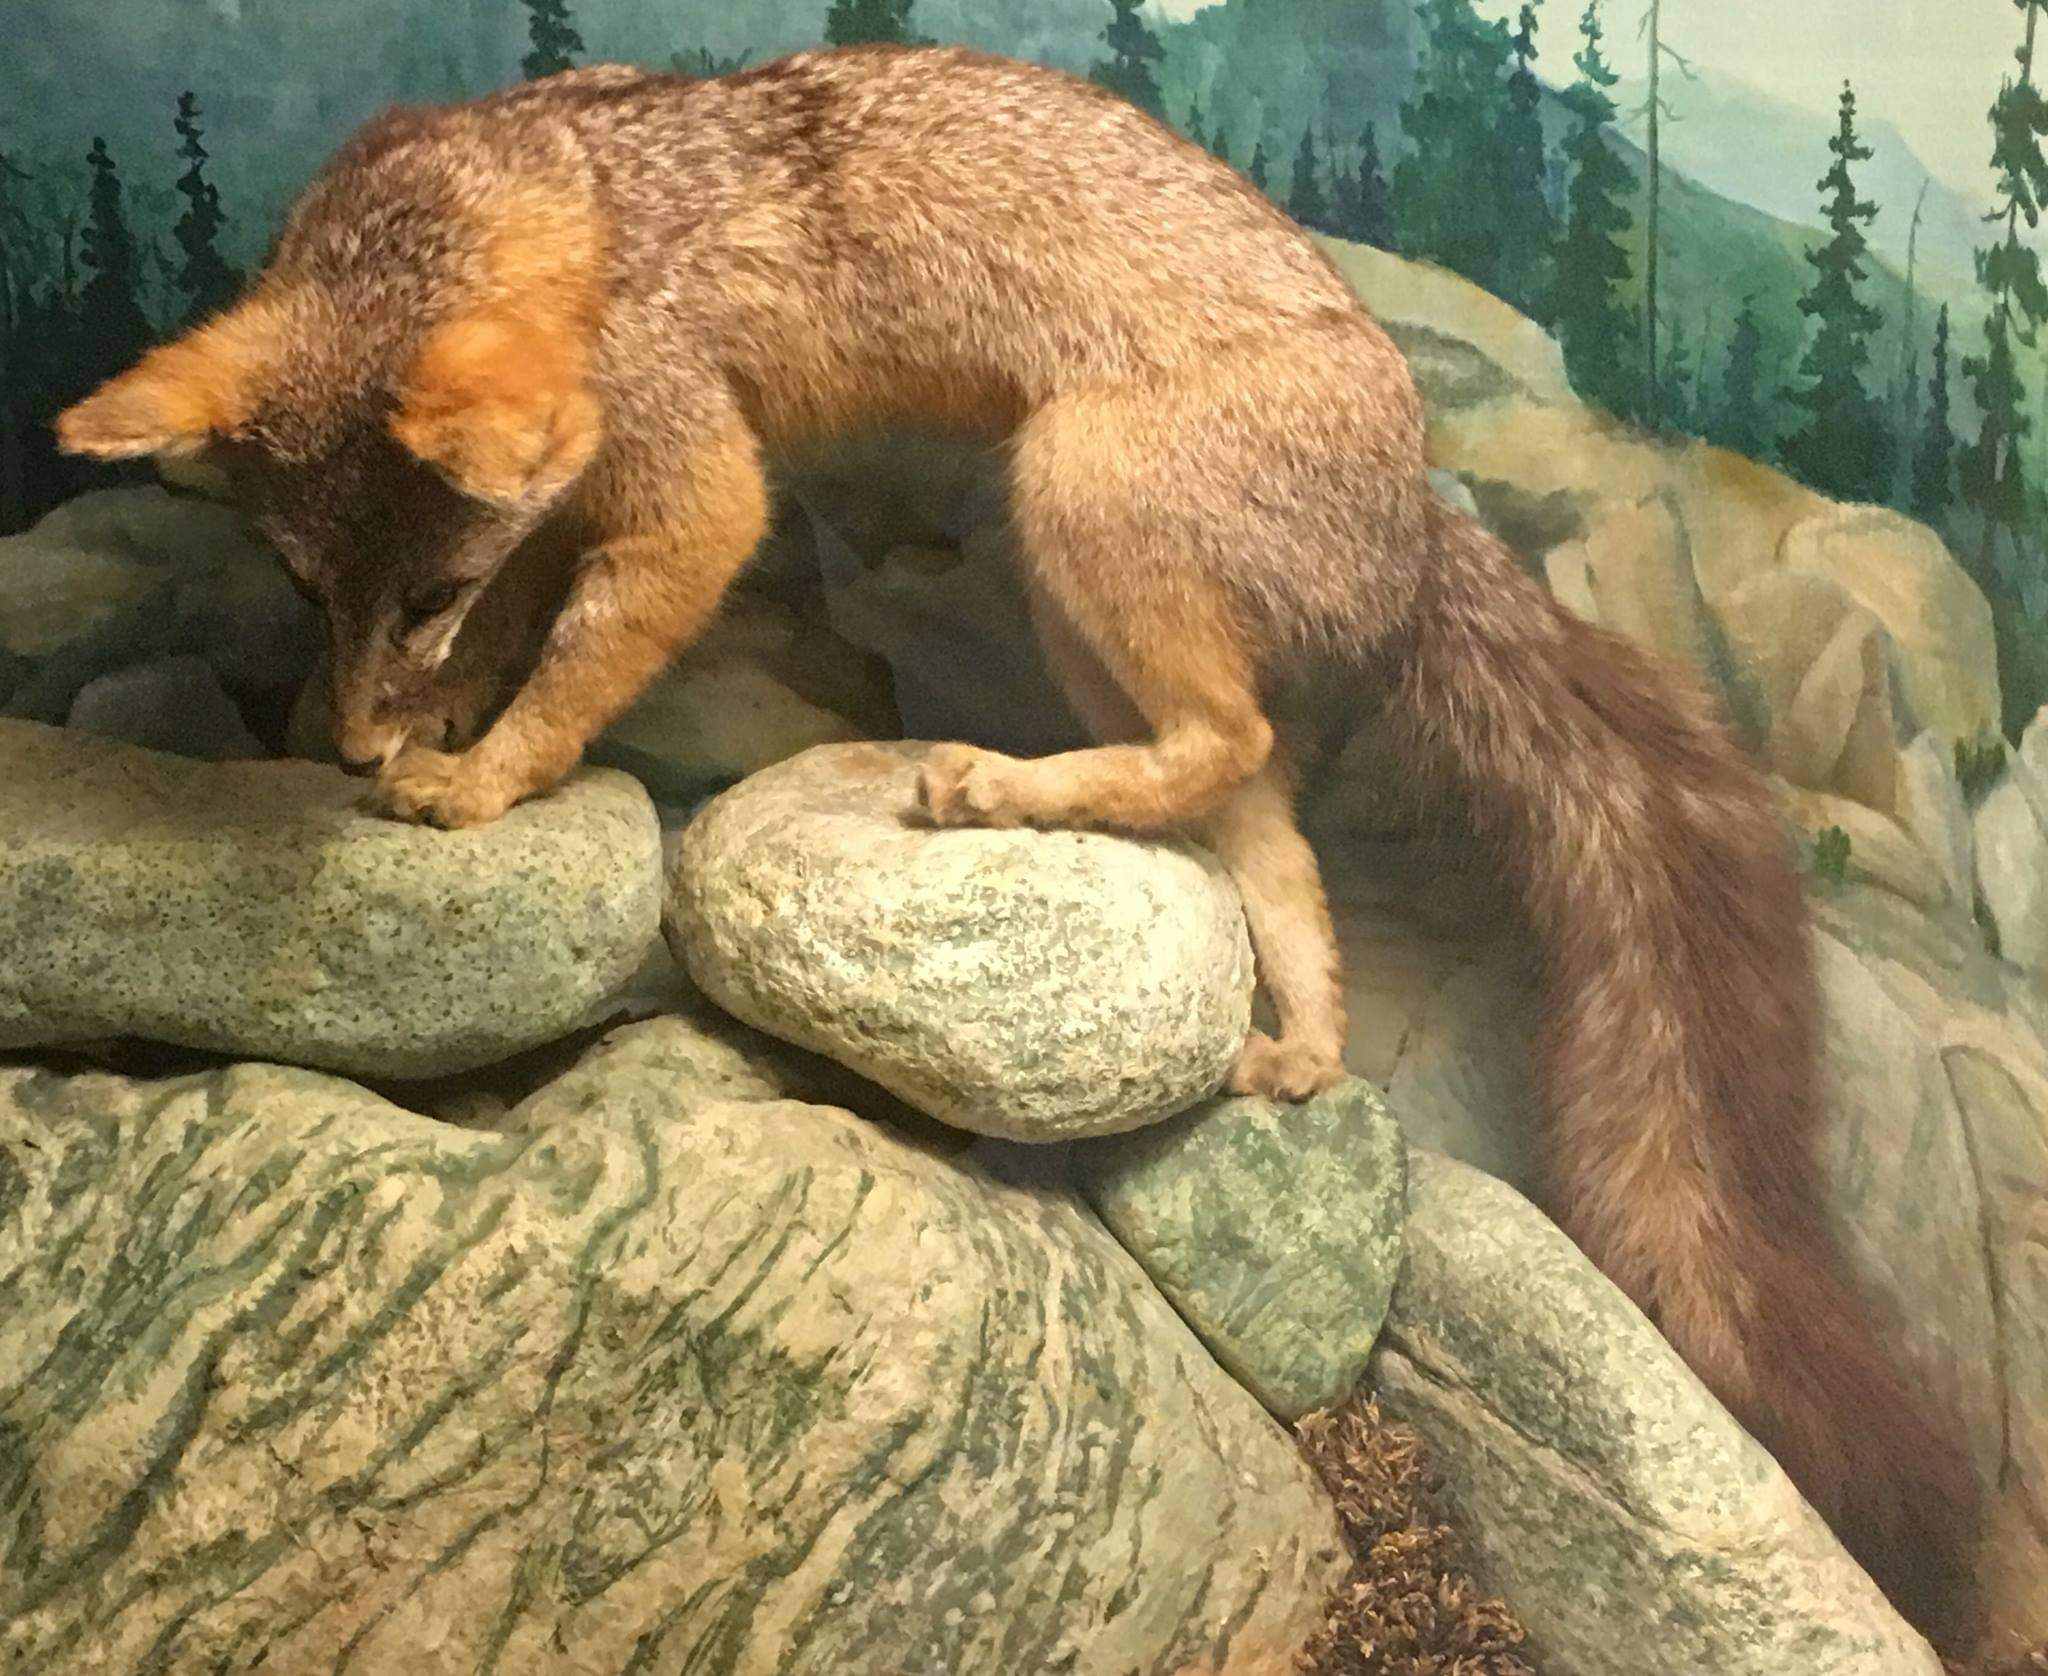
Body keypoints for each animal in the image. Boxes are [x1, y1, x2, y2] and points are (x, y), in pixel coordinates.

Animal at [56, 44, 1975, 1640]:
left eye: (420, 590)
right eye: (311, 591)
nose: (348, 739)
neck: (556, 195)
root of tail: (1414, 514)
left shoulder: (688, 485)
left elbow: (583, 660)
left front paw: (478, 776)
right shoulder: (566, 496)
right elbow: (535, 631)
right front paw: (420, 739)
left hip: (1067, 499)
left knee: (1231, 745)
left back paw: (991, 791)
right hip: (1086, 587)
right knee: (1263, 830)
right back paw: (1296, 1041)